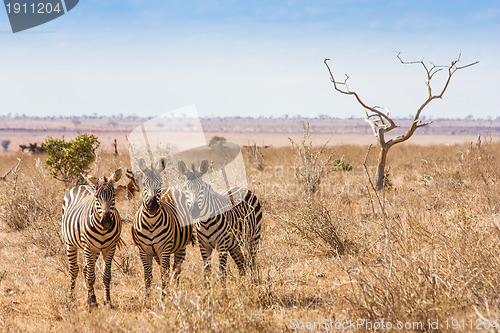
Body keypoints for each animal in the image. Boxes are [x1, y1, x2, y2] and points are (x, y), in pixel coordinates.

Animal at [61, 169, 123, 308]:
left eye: (113, 196)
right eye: (97, 197)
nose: (106, 222)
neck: (103, 230)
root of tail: (81, 185)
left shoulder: (110, 247)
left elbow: (106, 276)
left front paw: (107, 300)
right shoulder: (89, 247)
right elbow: (91, 277)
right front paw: (92, 302)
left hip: (94, 249)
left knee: (85, 269)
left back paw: (90, 295)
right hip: (71, 244)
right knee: (74, 270)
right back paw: (72, 298)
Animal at [131, 157, 193, 300]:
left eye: (159, 184)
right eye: (144, 184)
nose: (153, 206)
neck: (151, 223)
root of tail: (171, 188)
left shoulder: (164, 248)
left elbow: (165, 275)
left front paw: (164, 298)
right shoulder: (144, 251)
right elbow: (148, 277)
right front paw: (147, 300)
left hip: (180, 247)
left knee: (176, 269)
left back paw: (175, 290)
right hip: (157, 252)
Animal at [177, 158, 262, 286]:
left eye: (202, 188)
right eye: (185, 188)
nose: (194, 211)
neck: (206, 223)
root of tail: (242, 188)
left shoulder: (222, 246)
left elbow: (222, 273)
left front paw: (224, 291)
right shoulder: (204, 247)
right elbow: (206, 272)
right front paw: (207, 291)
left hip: (252, 237)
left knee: (252, 262)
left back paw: (254, 284)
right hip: (234, 244)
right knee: (241, 264)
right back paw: (242, 287)